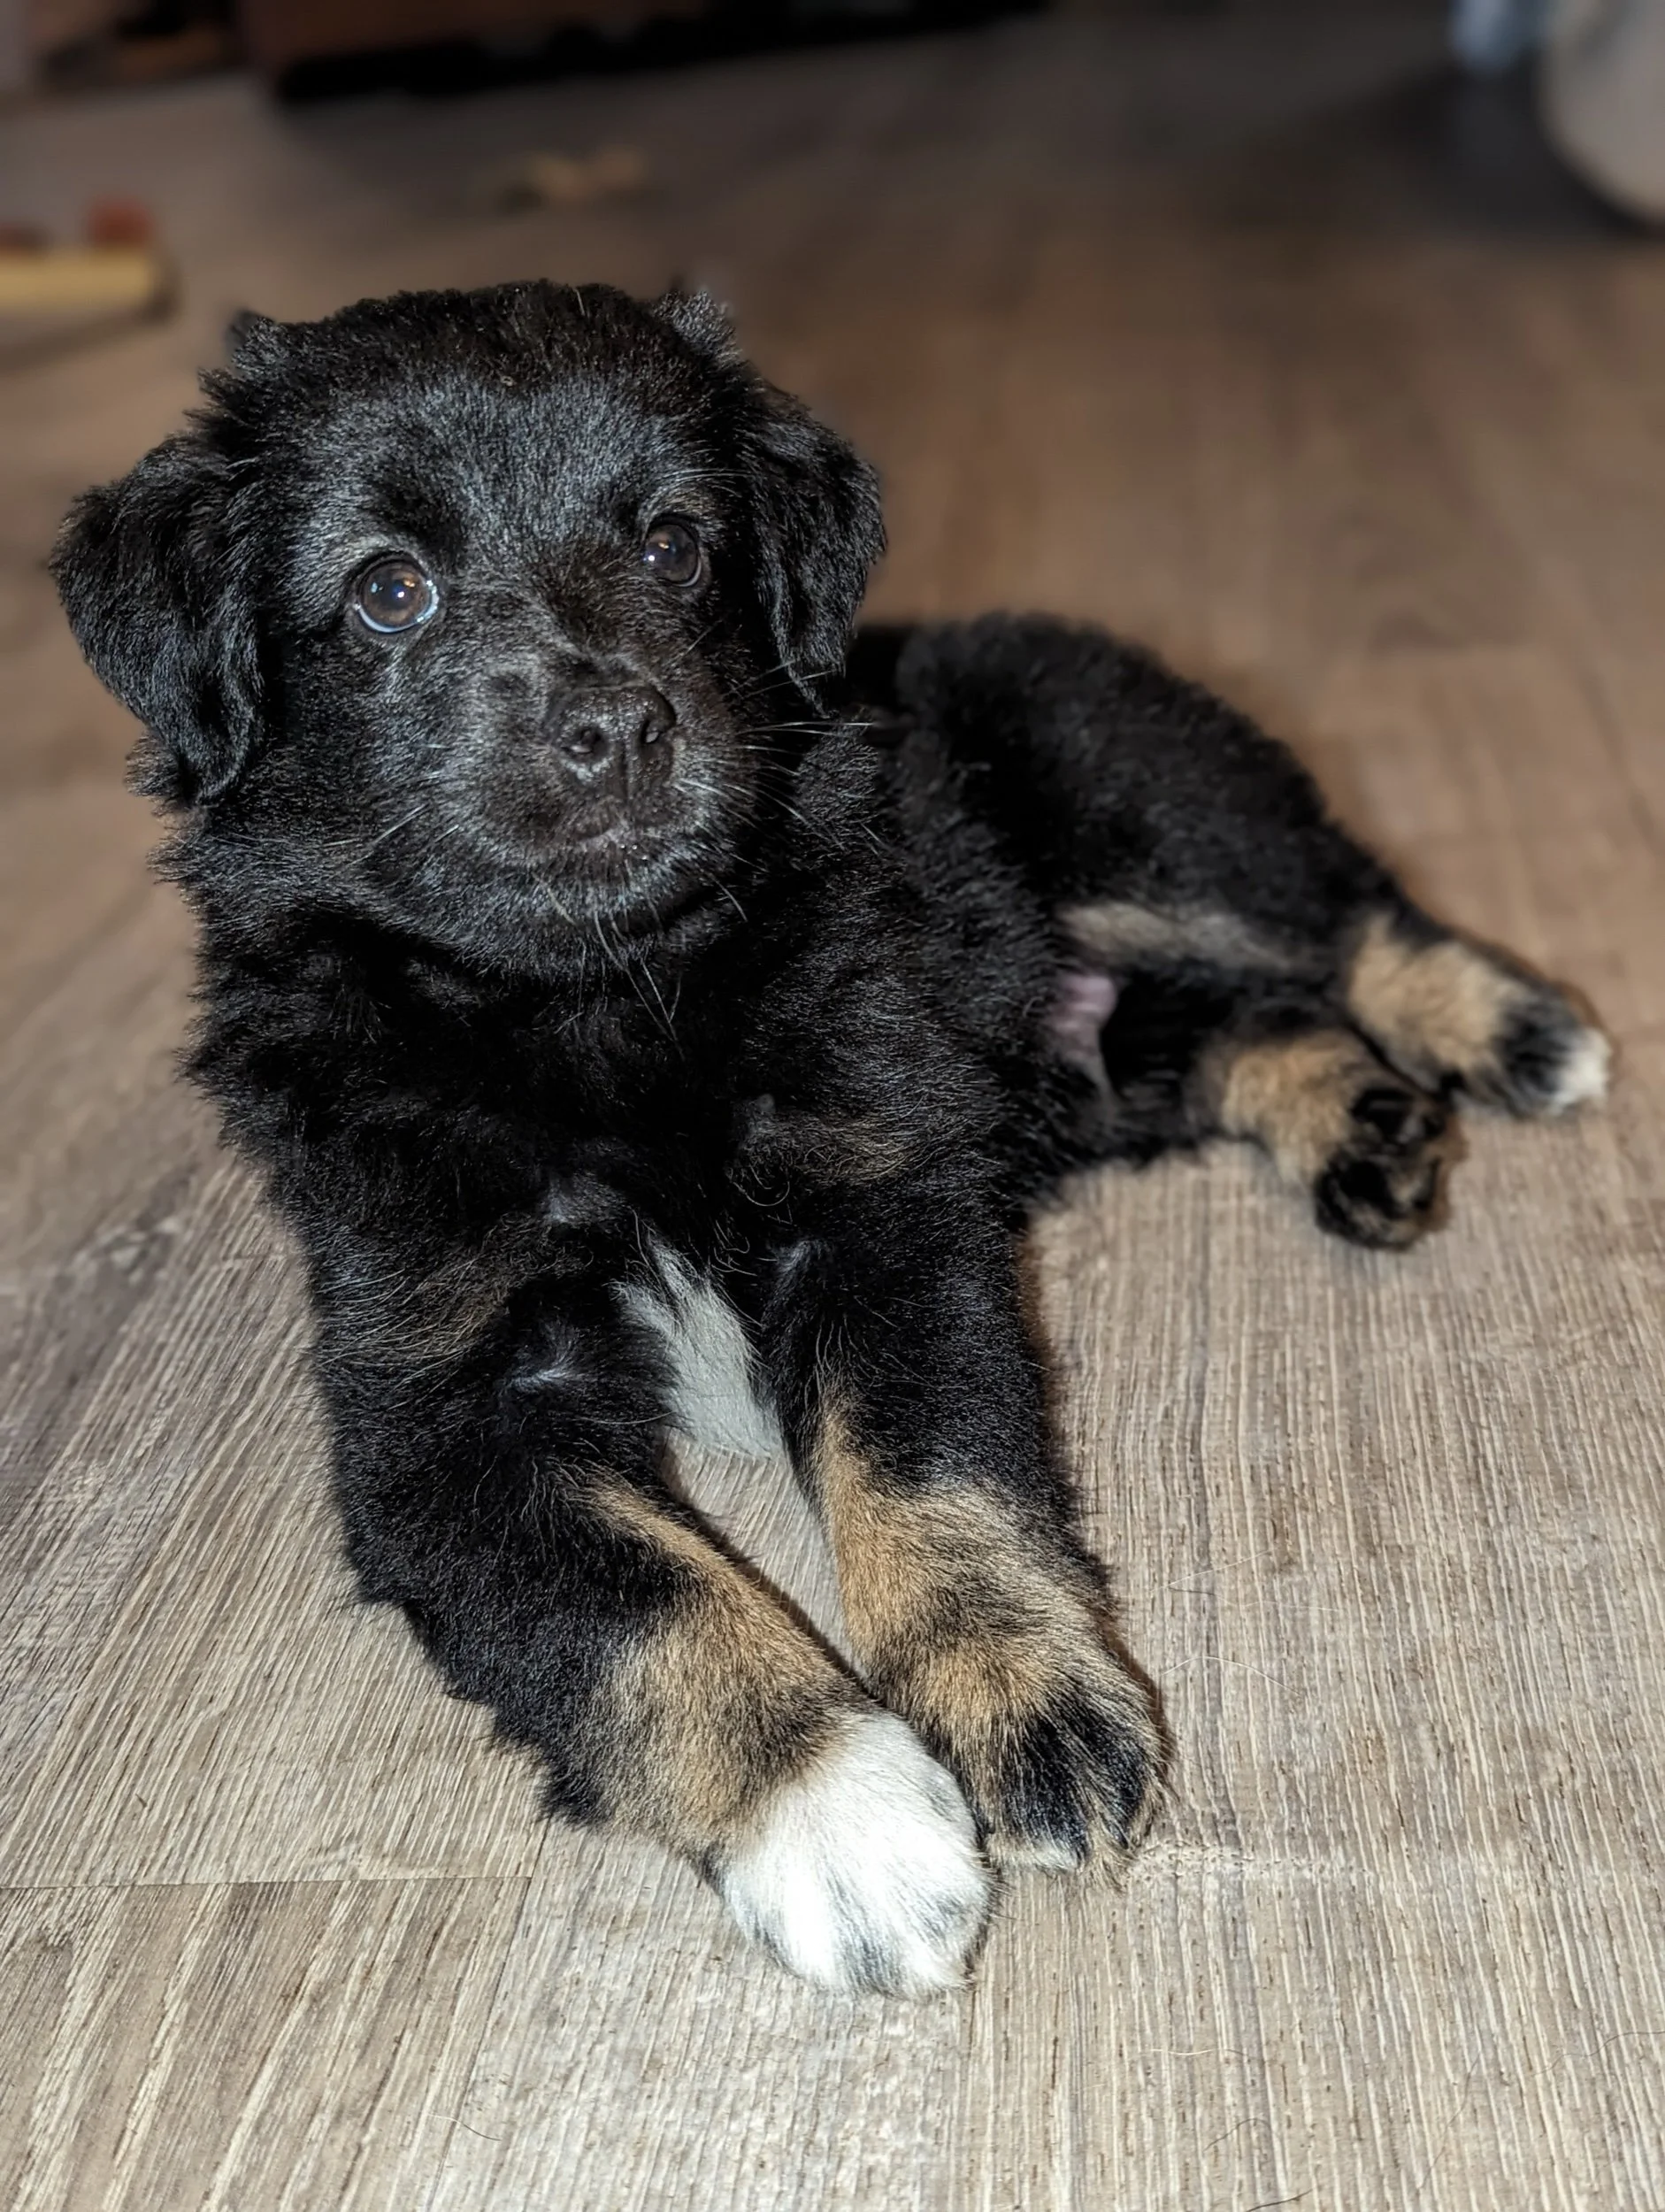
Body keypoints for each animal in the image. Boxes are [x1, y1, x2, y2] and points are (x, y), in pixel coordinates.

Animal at [52, 281, 1609, 1995]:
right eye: (389, 590)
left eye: (676, 546)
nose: (617, 727)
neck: (589, 1007)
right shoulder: (442, 1397)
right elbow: (637, 1603)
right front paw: (844, 1822)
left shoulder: (879, 1208)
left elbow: (932, 1472)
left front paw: (1022, 1698)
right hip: (1086, 1058)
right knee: (1241, 1021)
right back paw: (1365, 1124)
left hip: (1142, 801)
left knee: (1341, 915)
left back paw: (1510, 1027)